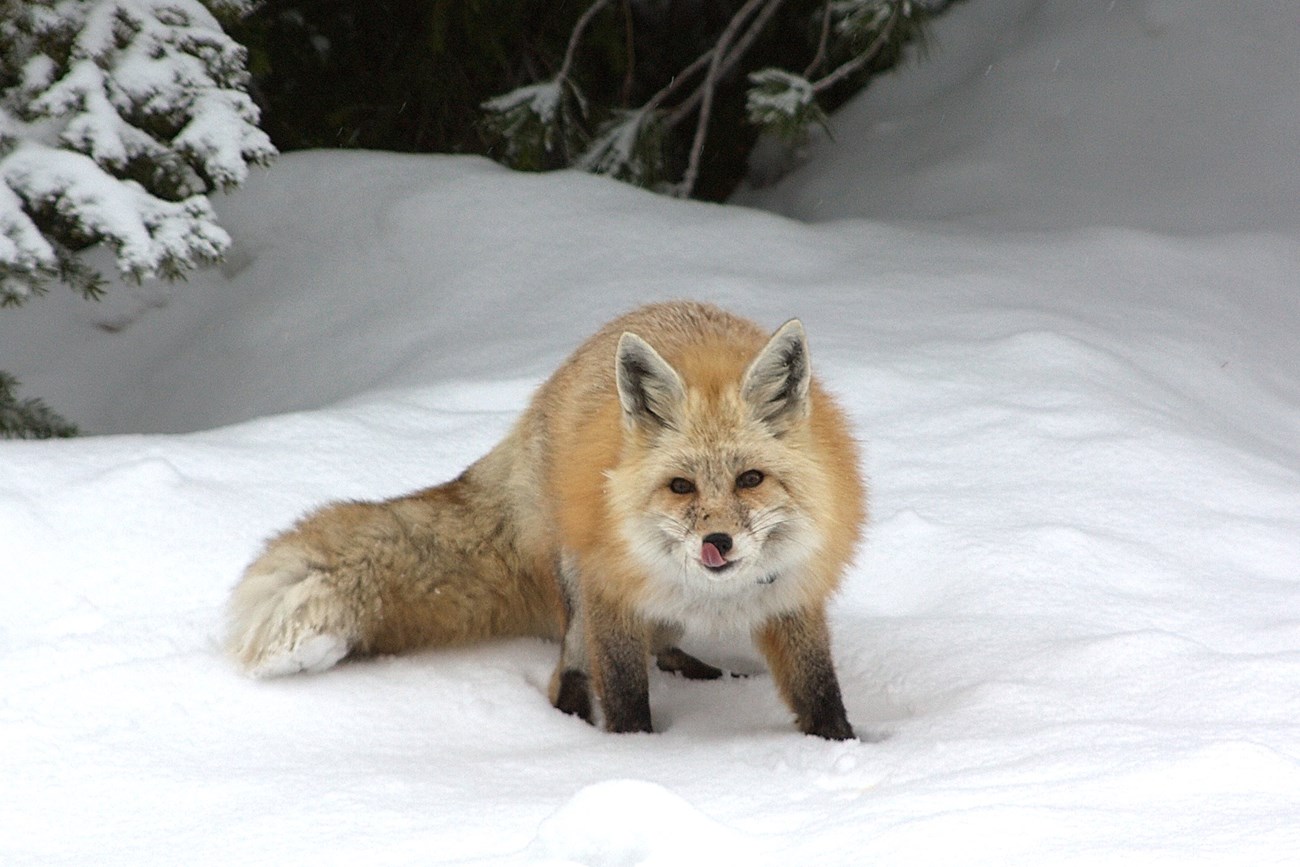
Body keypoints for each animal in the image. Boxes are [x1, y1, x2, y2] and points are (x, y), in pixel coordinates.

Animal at [226, 300, 866, 739]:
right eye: (681, 486)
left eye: (750, 479)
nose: (718, 541)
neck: (717, 594)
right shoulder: (612, 596)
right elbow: (625, 694)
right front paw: (640, 758)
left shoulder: (792, 597)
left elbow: (819, 690)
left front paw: (840, 748)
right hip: (578, 598)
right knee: (568, 675)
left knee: (662, 644)